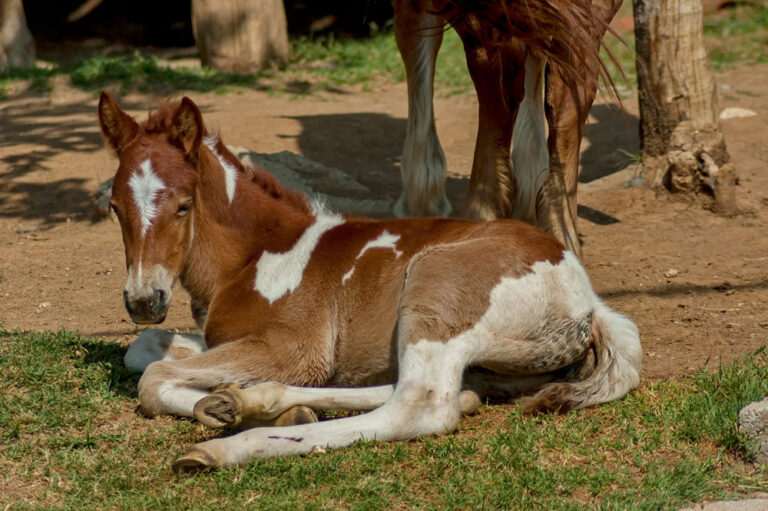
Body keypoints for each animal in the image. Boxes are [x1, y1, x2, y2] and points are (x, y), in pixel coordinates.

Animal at [98, 92, 641, 472]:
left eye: (183, 205)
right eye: (114, 207)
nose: (143, 300)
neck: (253, 258)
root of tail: (586, 298)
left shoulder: (293, 347)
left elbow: (154, 377)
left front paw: (219, 410)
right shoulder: (222, 338)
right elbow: (142, 350)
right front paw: (224, 399)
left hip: (432, 292)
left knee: (421, 407)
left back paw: (228, 445)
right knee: (450, 389)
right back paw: (252, 401)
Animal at [393, 0, 622, 258]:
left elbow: (410, 30)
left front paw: (420, 198)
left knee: (491, 65)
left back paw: (481, 217)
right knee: (572, 81)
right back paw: (558, 231)